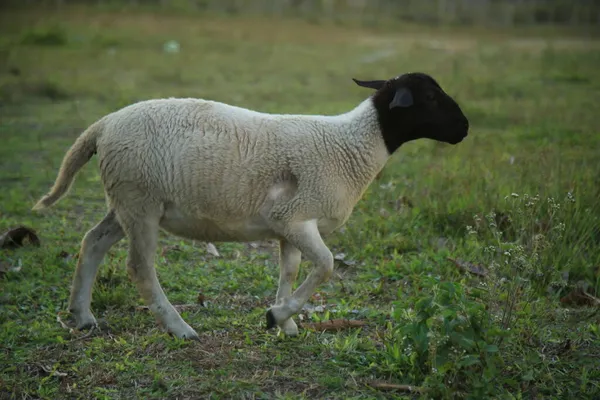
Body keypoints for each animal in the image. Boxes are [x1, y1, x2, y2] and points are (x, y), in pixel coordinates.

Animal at [31, 72, 468, 340]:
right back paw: (179, 328)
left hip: (125, 200)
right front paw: (276, 315)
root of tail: (103, 125)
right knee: (139, 268)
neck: (350, 145)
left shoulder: (290, 226)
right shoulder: (293, 217)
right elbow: (326, 266)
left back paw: (83, 317)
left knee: (92, 242)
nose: (464, 128)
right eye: (430, 97)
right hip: (140, 201)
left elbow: (289, 270)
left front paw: (285, 322)